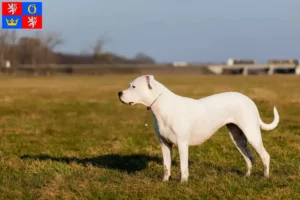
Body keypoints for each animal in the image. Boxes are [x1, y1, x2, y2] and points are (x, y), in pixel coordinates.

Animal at [118, 75, 278, 183]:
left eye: (133, 87)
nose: (119, 93)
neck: (162, 106)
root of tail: (249, 100)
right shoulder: (165, 144)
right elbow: (166, 165)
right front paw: (165, 181)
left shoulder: (182, 144)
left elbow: (183, 166)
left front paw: (183, 183)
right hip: (237, 138)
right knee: (249, 157)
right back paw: (247, 176)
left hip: (252, 134)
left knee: (265, 156)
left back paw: (265, 177)